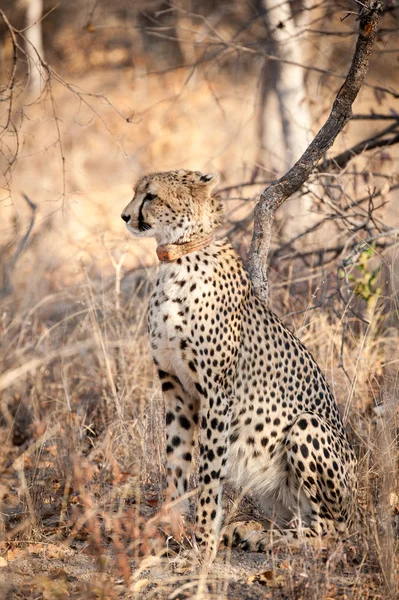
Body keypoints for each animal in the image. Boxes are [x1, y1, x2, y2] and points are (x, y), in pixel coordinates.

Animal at [122, 168, 360, 556]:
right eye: (137, 192)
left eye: (151, 195)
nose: (125, 216)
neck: (179, 257)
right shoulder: (176, 388)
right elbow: (176, 462)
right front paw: (167, 527)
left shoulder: (218, 395)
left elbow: (207, 473)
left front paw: (203, 540)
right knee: (303, 520)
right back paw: (249, 531)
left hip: (308, 425)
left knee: (330, 530)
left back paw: (258, 536)